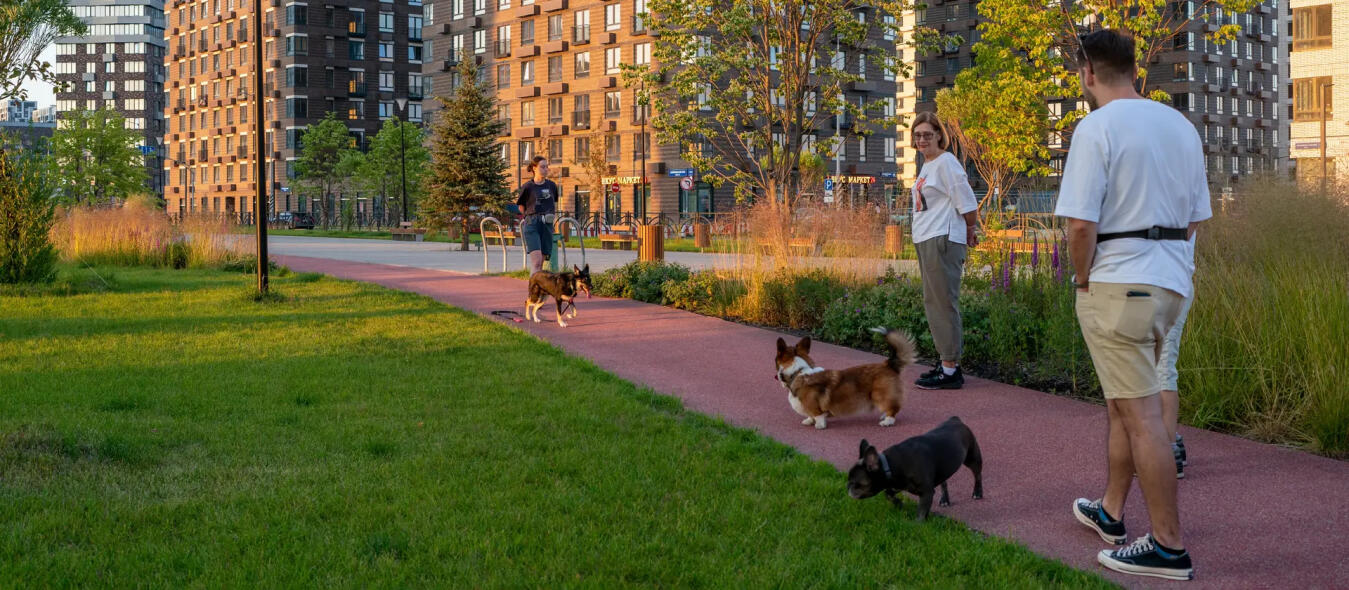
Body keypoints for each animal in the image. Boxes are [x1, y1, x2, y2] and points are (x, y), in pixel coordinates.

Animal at [771, 326, 917, 426]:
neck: (798, 371)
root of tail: (889, 364)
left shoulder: (815, 408)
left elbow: (818, 416)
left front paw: (818, 425)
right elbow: (810, 416)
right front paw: (808, 421)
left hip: (878, 394)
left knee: (893, 409)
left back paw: (887, 421)